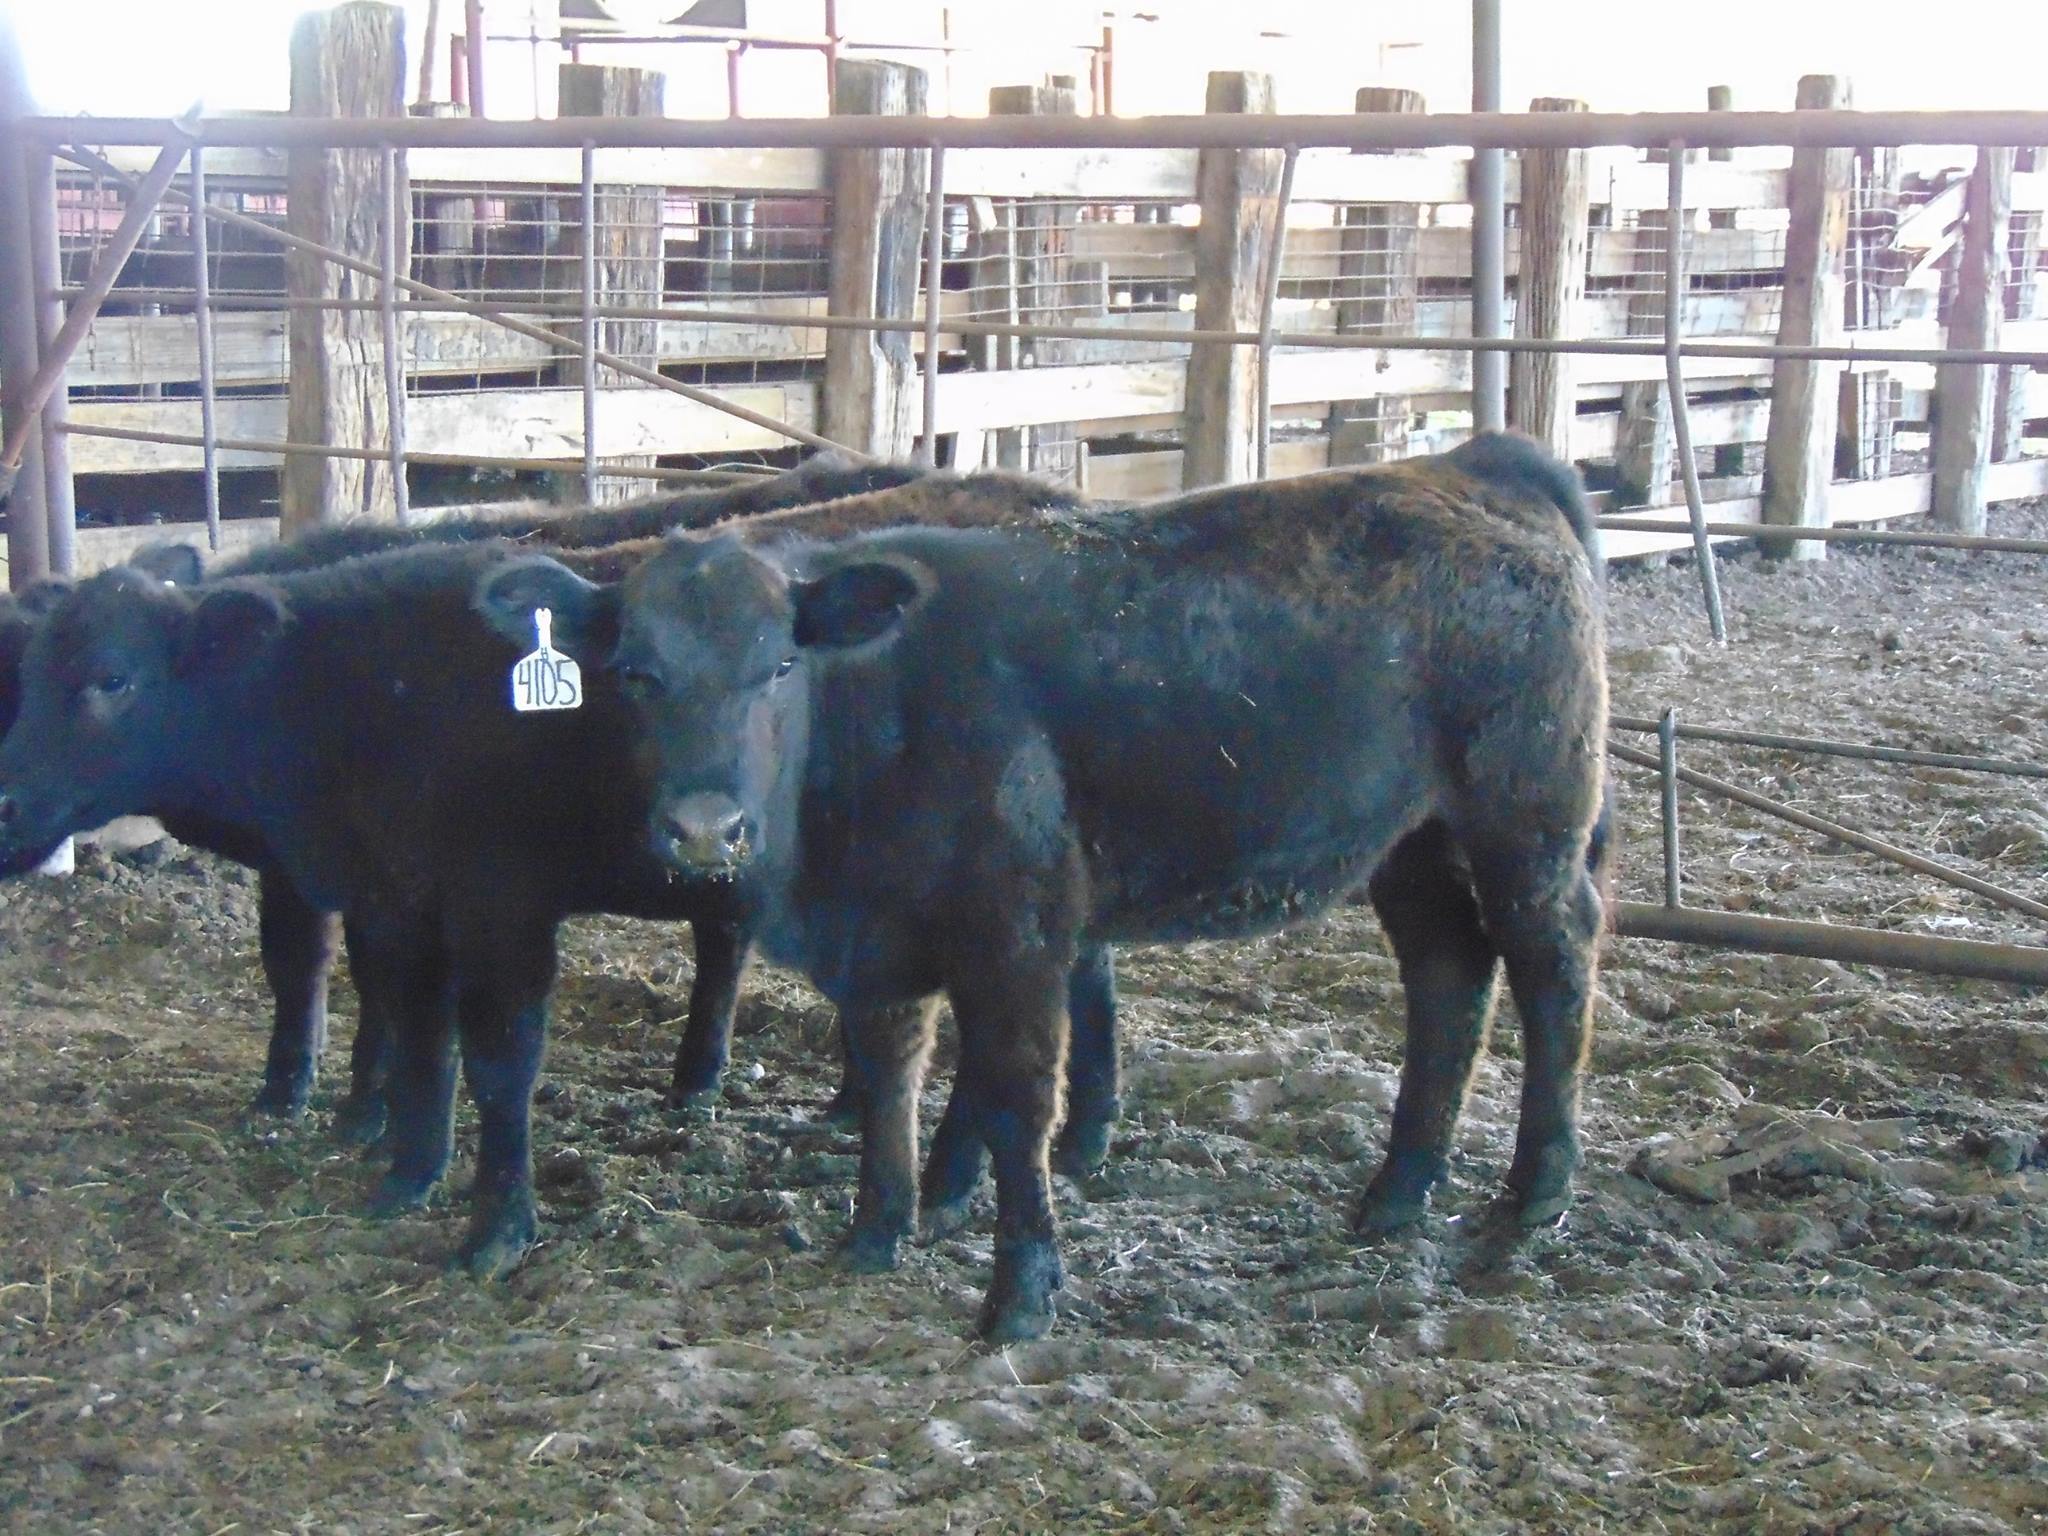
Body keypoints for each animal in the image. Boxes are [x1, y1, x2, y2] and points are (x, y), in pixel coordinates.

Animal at [479, 433, 1611, 1341]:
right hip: (1410, 841)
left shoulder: (1017, 932)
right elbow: (891, 1072)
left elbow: (1016, 1096)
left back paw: (1531, 1196)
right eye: (635, 672)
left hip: (1526, 819)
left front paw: (1018, 1291)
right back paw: (1398, 1191)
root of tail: (1471, 464)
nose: (707, 826)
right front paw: (879, 1228)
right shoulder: (882, 938)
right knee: (1448, 976)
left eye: (780, 667)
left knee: (1552, 970)